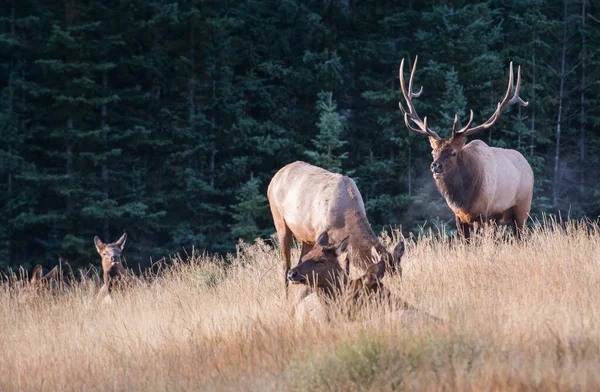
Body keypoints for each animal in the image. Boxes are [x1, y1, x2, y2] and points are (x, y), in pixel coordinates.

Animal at [268, 160, 400, 294]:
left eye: (400, 273)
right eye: (385, 276)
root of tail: (274, 178)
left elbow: (346, 267)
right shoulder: (320, 232)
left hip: (307, 237)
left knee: (300, 259)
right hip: (279, 220)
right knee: (285, 265)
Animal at [398, 55, 536, 239]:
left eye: (453, 153)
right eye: (433, 151)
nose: (436, 166)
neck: (463, 199)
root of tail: (529, 167)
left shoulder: (483, 213)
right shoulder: (459, 217)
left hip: (522, 207)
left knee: (520, 237)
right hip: (499, 218)